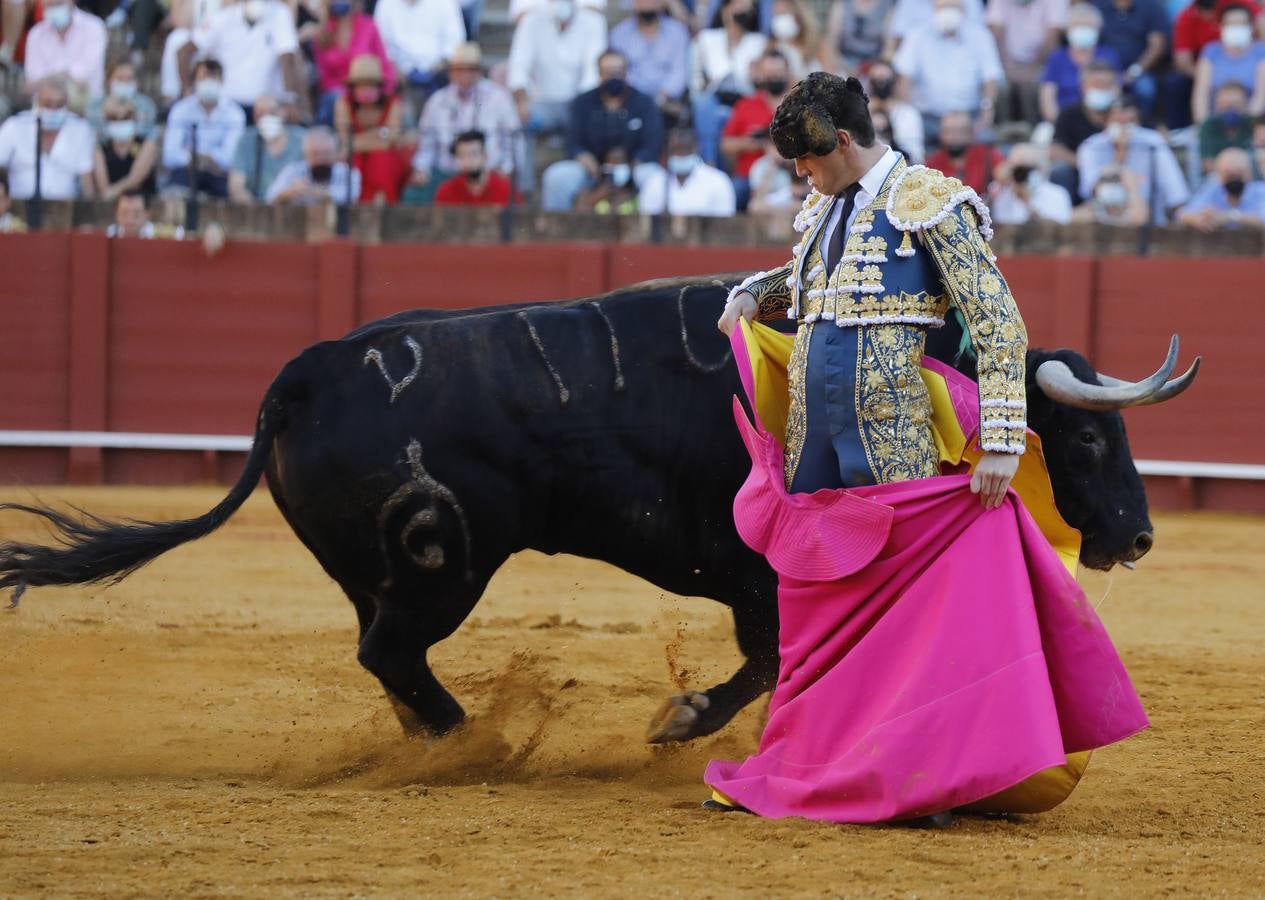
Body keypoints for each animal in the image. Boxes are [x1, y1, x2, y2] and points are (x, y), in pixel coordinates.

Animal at [0, 274, 1194, 744]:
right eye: (1089, 437)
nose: (1137, 536)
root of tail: (301, 375)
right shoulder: (756, 572)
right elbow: (766, 660)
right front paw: (683, 721)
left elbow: (788, 657)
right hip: (443, 563)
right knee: (393, 651)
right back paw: (465, 741)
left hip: (376, 571)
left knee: (381, 654)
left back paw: (432, 739)